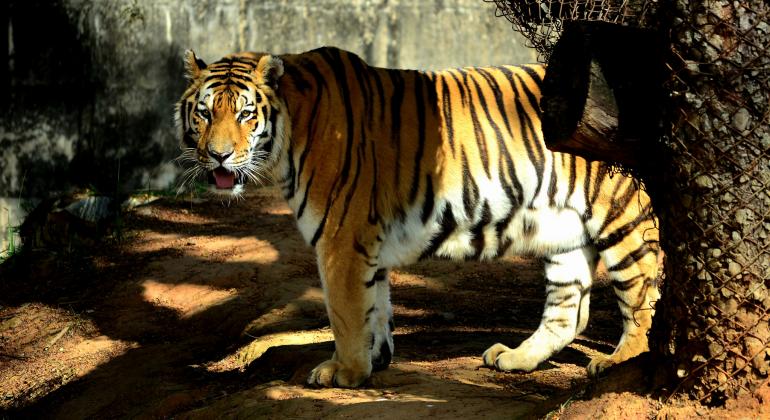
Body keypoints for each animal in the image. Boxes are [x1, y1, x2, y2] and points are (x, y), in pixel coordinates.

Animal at [176, 46, 660, 388]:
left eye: (245, 114)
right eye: (204, 113)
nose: (218, 156)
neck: (291, 133)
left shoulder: (340, 237)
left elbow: (344, 310)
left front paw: (343, 372)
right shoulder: (363, 243)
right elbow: (374, 306)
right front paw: (374, 361)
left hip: (625, 220)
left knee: (643, 303)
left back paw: (617, 363)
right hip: (564, 234)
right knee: (568, 313)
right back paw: (513, 357)